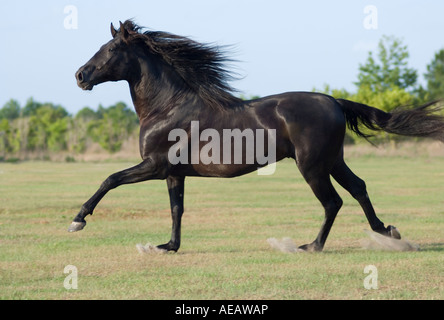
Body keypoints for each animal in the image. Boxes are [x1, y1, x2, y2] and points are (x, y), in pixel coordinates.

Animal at [69, 20, 444, 252]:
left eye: (110, 50)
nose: (80, 75)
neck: (168, 107)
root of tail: (333, 101)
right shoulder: (173, 173)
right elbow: (177, 209)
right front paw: (168, 246)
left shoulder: (155, 165)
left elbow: (110, 179)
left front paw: (77, 220)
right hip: (333, 160)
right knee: (358, 188)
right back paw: (388, 233)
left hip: (312, 166)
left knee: (333, 202)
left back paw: (310, 246)